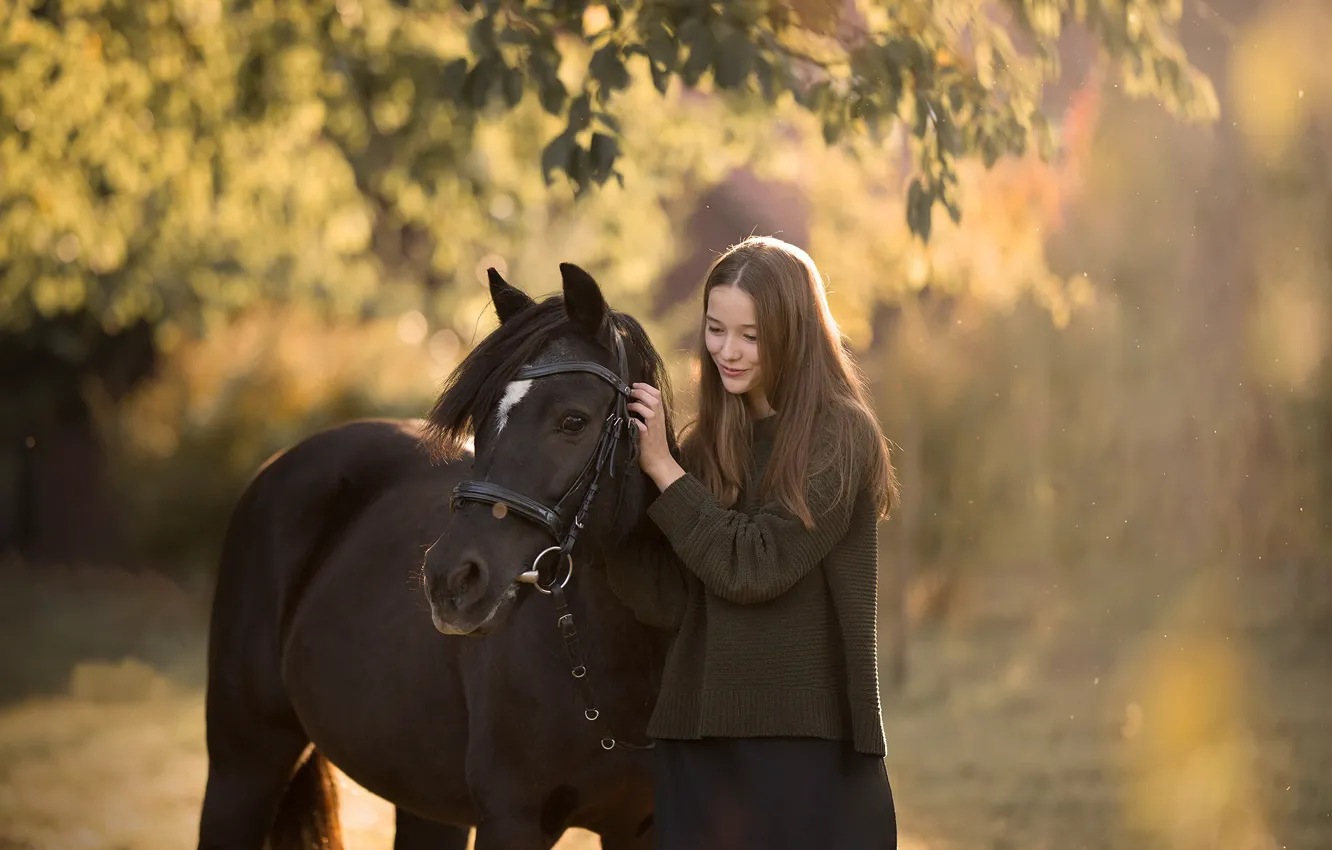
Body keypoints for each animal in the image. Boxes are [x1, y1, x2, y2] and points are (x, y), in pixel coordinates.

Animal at [198, 262, 678, 850]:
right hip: (242, 769)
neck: (628, 660)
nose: (451, 581)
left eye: (573, 421)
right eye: (482, 417)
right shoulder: (511, 819)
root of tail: (278, 465)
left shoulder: (641, 827)